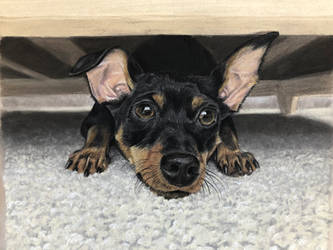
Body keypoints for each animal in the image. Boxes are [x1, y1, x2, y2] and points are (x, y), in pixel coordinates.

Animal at [65, 31, 278, 199]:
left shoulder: (226, 116)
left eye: (207, 116)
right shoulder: (98, 112)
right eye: (145, 111)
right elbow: (101, 126)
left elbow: (226, 130)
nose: (182, 167)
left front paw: (234, 153)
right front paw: (90, 153)